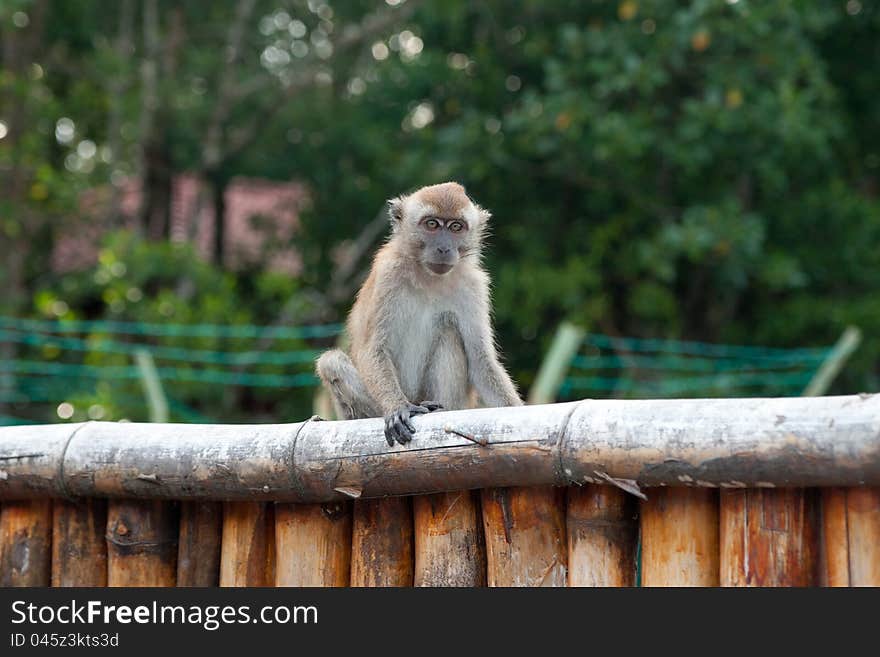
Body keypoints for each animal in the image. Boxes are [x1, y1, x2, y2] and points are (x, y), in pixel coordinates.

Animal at [316, 182, 524, 444]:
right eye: (432, 224)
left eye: (456, 227)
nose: (444, 248)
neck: (428, 278)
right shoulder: (387, 275)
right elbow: (373, 348)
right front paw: (398, 408)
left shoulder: (474, 286)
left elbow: (481, 360)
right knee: (331, 362)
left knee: (448, 332)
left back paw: (439, 408)